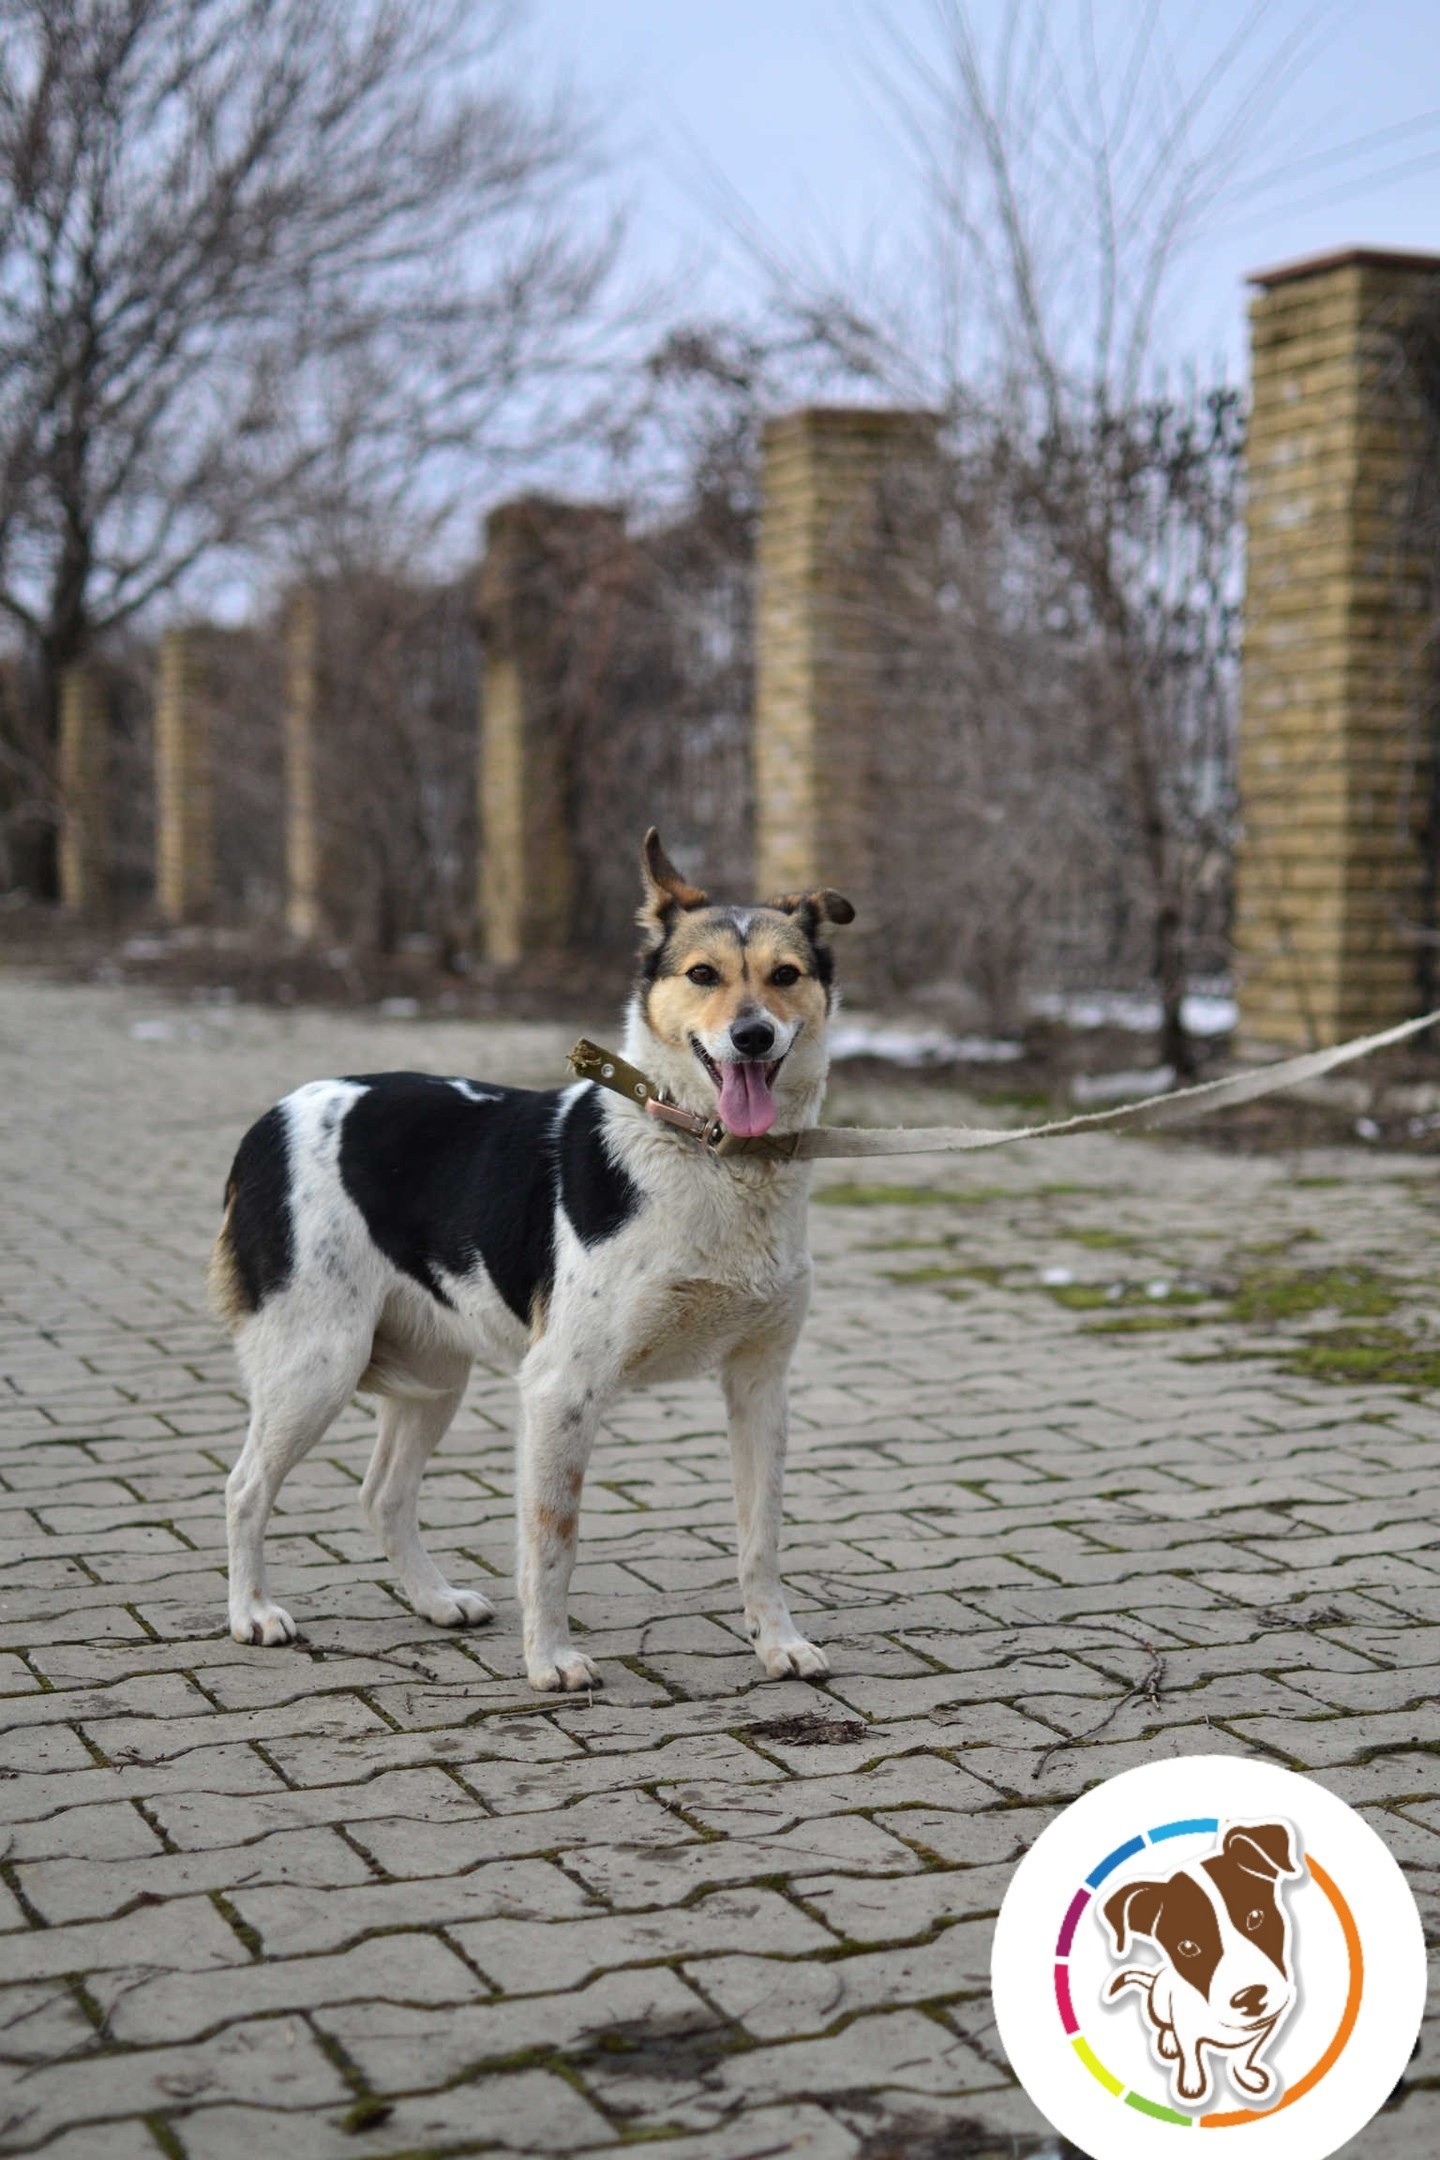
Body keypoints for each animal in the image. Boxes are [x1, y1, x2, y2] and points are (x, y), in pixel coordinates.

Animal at [213, 833, 854, 1693]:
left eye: (785, 976)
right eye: (703, 975)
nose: (752, 1036)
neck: (713, 1155)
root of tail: (269, 1120)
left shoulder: (760, 1385)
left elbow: (761, 1536)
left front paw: (776, 1642)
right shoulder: (560, 1389)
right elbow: (553, 1541)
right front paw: (549, 1659)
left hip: (433, 1375)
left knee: (383, 1495)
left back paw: (435, 1600)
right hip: (317, 1361)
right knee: (246, 1485)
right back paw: (252, 1613)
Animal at [1105, 1823, 1303, 2108]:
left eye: (1255, 1916)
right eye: (1187, 1947)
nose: (1250, 1997)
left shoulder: (1266, 2027)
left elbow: (1245, 2056)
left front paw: (1246, 2076)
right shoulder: (1187, 2032)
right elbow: (1191, 2059)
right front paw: (1192, 2085)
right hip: (1160, 2004)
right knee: (1165, 2027)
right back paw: (1168, 2043)